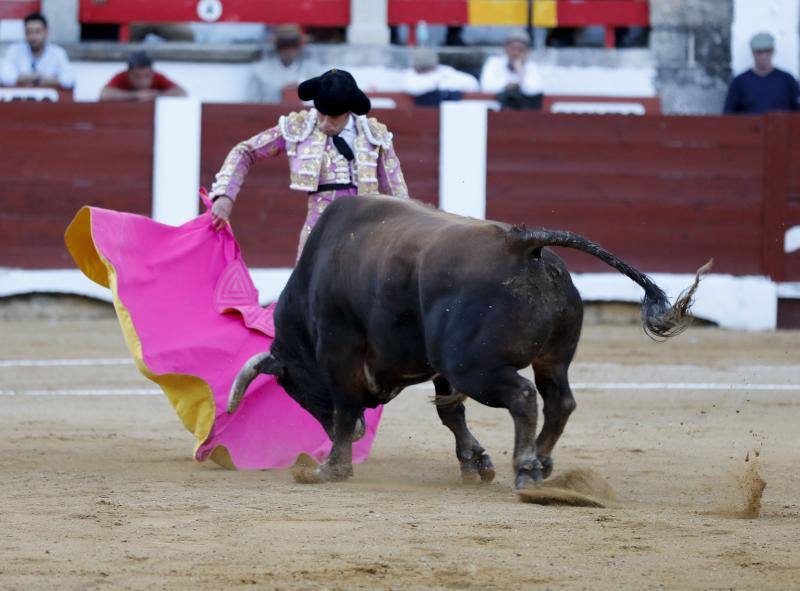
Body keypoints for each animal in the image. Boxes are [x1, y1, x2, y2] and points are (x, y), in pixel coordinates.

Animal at [227, 197, 708, 488]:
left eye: (295, 389)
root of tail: (523, 243)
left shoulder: (339, 352)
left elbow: (346, 408)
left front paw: (331, 468)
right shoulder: (436, 367)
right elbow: (450, 414)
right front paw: (475, 462)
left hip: (473, 365)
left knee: (523, 396)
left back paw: (526, 467)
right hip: (551, 357)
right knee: (559, 400)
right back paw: (542, 461)